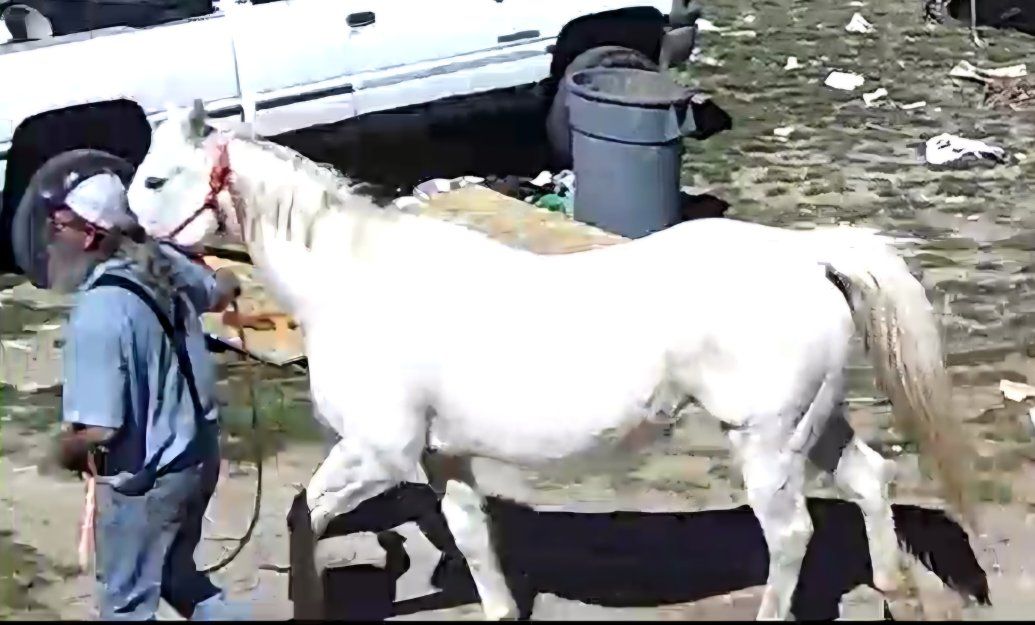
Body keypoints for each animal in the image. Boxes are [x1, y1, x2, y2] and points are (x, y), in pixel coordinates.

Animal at [126, 100, 978, 621]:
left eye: (156, 178)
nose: (121, 253)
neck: (356, 282)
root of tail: (804, 253)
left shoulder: (378, 452)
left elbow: (304, 514)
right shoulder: (441, 458)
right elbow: (472, 540)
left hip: (766, 442)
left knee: (791, 534)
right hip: (812, 423)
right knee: (869, 481)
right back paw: (895, 589)